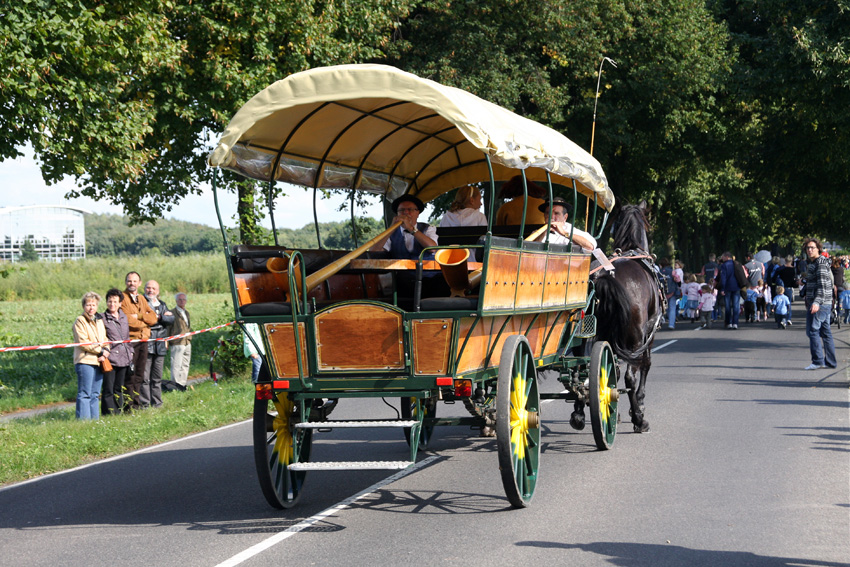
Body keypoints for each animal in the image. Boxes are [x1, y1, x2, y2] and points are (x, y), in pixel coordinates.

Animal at [580, 202, 660, 432]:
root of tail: (604, 276)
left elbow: (609, 369)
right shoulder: (649, 335)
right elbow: (645, 364)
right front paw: (638, 406)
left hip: (585, 334)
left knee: (581, 368)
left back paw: (578, 413)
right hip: (635, 338)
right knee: (630, 376)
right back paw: (639, 421)